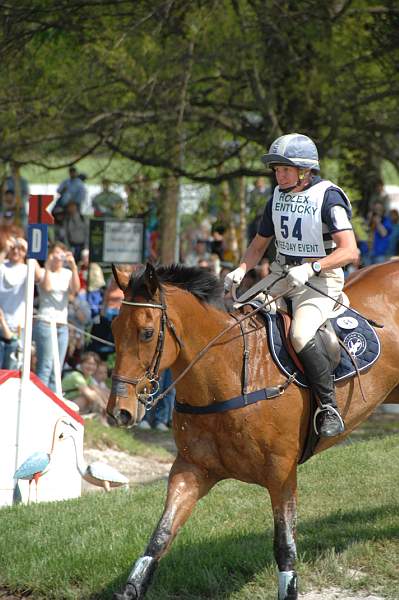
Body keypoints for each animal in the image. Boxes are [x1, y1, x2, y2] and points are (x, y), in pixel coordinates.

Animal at [106, 260, 399, 600]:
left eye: (147, 333)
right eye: (114, 329)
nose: (118, 411)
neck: (229, 375)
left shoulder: (282, 475)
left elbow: (285, 548)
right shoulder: (191, 470)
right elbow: (159, 538)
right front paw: (131, 588)